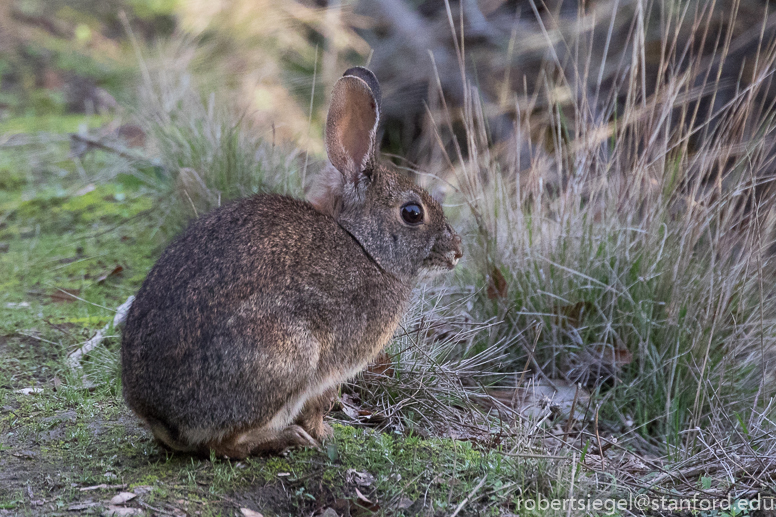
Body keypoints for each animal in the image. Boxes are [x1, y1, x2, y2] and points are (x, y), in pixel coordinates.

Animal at [120, 66, 460, 458]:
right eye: (412, 213)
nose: (456, 251)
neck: (363, 246)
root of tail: (161, 417)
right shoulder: (329, 367)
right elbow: (320, 403)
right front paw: (324, 434)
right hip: (288, 355)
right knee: (224, 444)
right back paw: (287, 438)